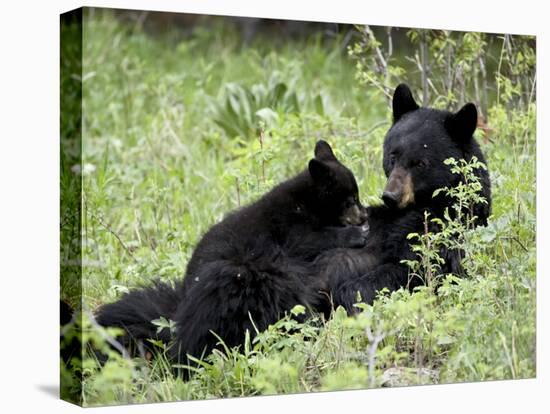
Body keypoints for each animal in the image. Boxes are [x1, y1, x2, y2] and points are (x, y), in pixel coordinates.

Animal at [96, 142, 368, 366]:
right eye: (351, 199)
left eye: (357, 196)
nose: (364, 215)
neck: (307, 200)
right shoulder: (289, 225)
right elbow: (311, 240)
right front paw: (357, 234)